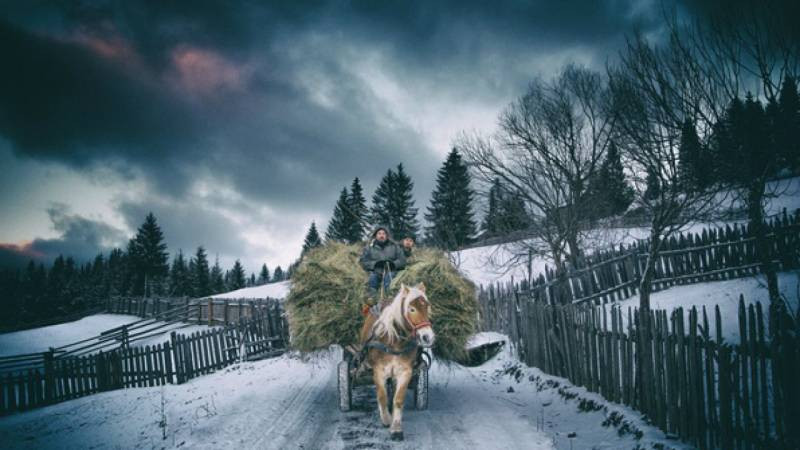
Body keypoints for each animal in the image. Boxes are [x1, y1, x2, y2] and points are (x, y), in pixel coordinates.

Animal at [360, 284, 434, 442]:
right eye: (411, 309)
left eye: (427, 306)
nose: (428, 337)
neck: (394, 341)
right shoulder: (379, 371)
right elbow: (381, 397)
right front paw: (386, 419)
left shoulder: (405, 371)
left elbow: (398, 399)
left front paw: (396, 429)